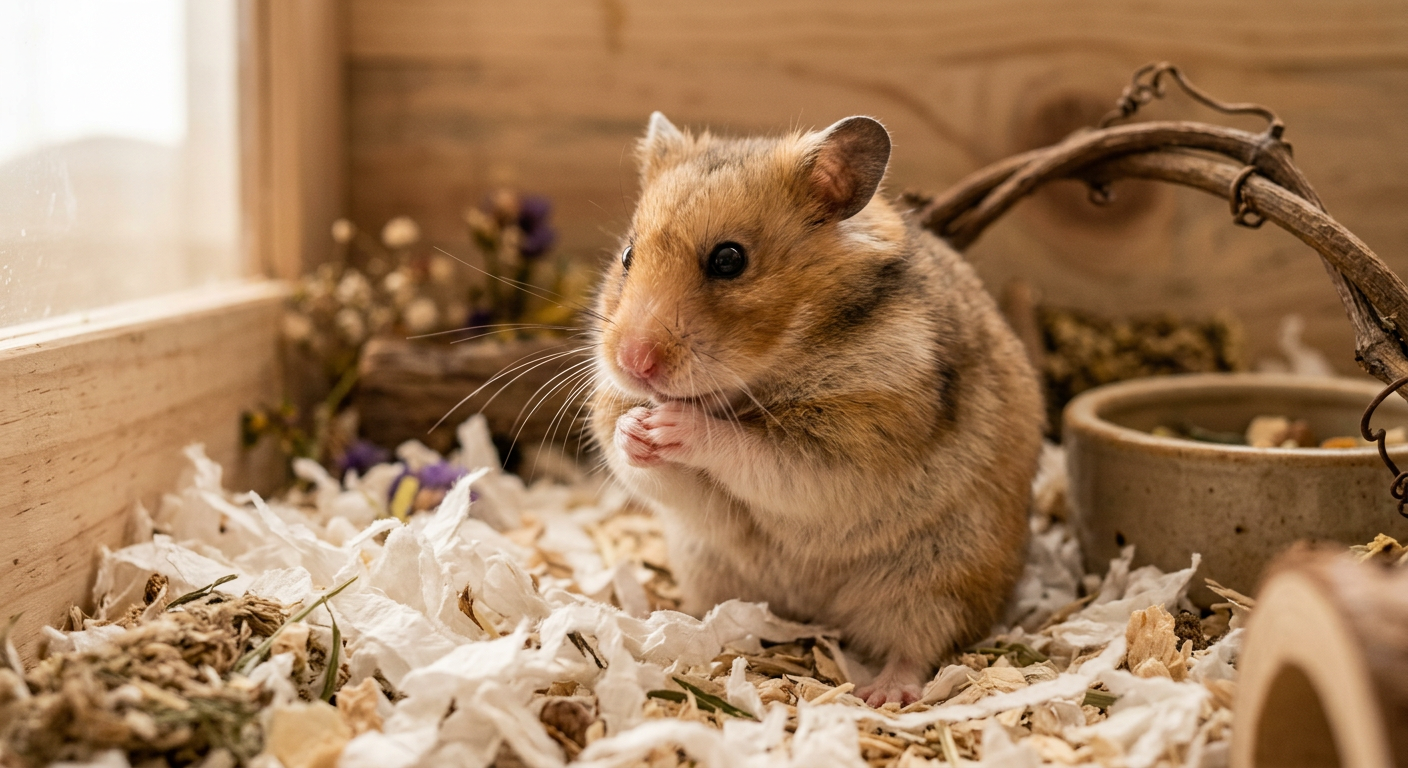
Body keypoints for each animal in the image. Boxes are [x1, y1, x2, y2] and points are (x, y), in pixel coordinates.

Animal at [587, 112, 1044, 706]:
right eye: (627, 256)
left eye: (729, 260)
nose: (633, 362)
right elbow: (651, 469)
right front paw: (634, 429)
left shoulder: (848, 447)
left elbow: (753, 451)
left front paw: (670, 423)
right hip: (708, 565)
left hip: (939, 579)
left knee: (918, 644)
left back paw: (882, 696)